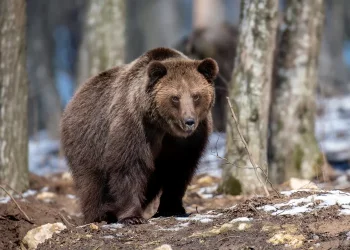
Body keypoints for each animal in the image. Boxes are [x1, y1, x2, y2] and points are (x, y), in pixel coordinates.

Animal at [60, 46, 219, 225]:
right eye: (175, 97)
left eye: (196, 95)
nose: (189, 121)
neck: (163, 126)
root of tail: (74, 97)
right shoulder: (134, 126)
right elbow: (128, 166)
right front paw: (132, 216)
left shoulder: (190, 139)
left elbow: (179, 169)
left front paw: (173, 207)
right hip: (88, 140)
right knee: (91, 182)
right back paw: (99, 215)